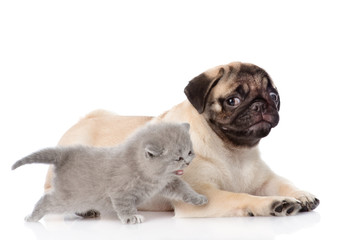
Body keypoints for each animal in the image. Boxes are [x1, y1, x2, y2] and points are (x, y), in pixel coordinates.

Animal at [11, 123, 207, 224]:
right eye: (178, 157)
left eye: (190, 152)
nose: (188, 161)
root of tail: (65, 153)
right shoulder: (120, 192)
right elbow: (124, 206)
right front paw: (131, 217)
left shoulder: (168, 182)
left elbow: (183, 188)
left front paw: (198, 198)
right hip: (67, 196)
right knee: (46, 200)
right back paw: (32, 217)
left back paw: (88, 213)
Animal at [43, 61, 318, 218]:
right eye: (233, 100)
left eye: (274, 96)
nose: (261, 105)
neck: (233, 151)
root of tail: (84, 120)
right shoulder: (203, 195)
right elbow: (242, 197)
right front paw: (272, 203)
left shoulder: (263, 180)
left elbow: (283, 183)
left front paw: (301, 195)